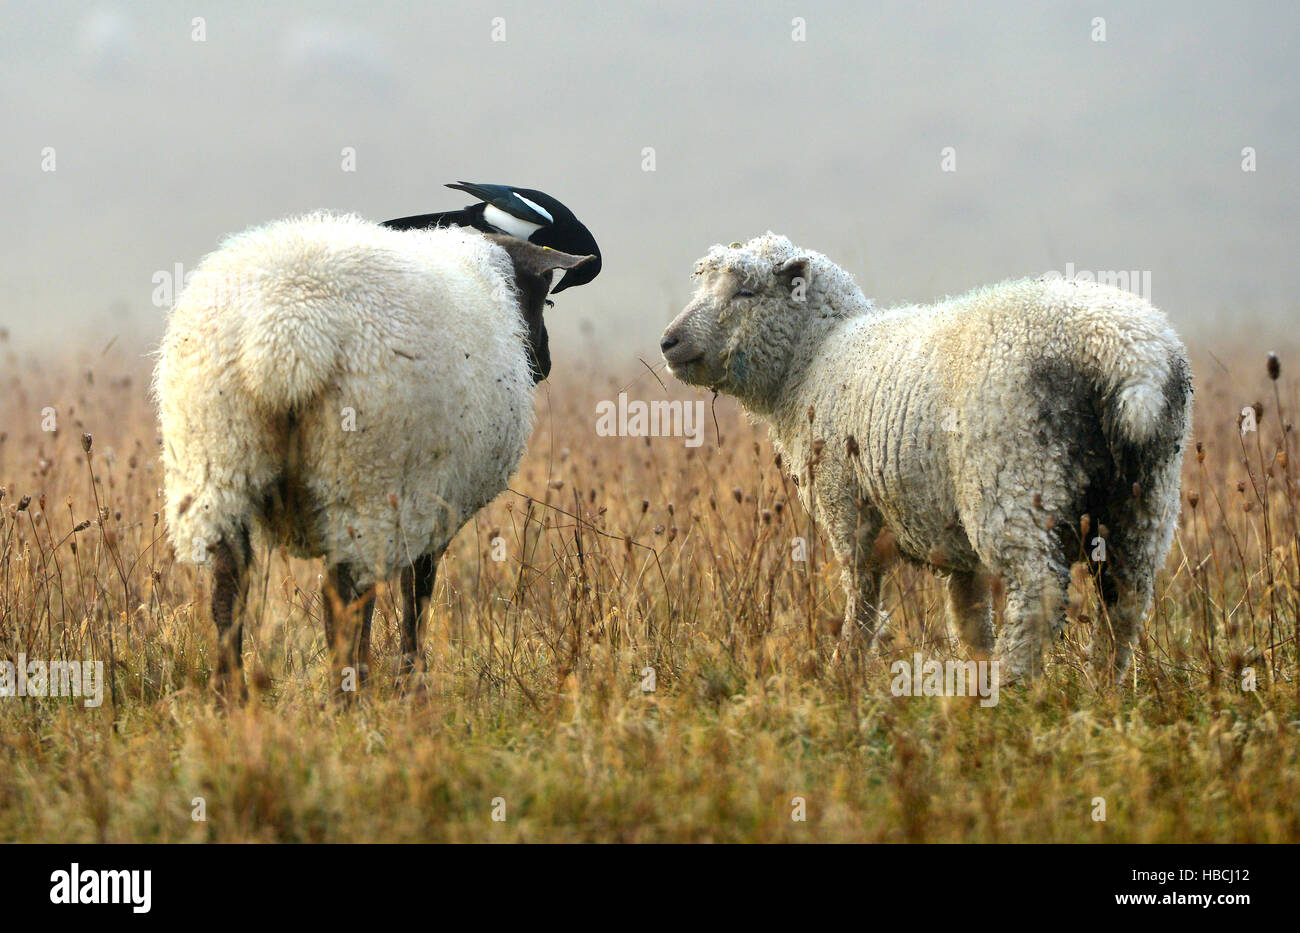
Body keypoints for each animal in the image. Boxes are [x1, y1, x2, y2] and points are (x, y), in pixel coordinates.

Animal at [152, 211, 595, 696]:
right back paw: (347, 692)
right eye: (544, 300)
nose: (546, 362)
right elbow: (417, 591)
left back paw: (230, 696)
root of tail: (285, 334)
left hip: (217, 461)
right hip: (364, 476)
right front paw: (411, 681)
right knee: (344, 598)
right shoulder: (432, 504)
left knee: (229, 587)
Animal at [665, 233, 1190, 686]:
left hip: (1013, 478)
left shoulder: (847, 503)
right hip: (1144, 498)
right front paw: (973, 673)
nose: (669, 341)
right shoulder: (951, 540)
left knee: (1038, 593)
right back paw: (1104, 686)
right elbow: (970, 616)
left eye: (746, 291)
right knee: (1127, 599)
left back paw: (1013, 689)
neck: (815, 357)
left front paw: (845, 669)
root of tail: (1128, 355)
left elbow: (863, 596)